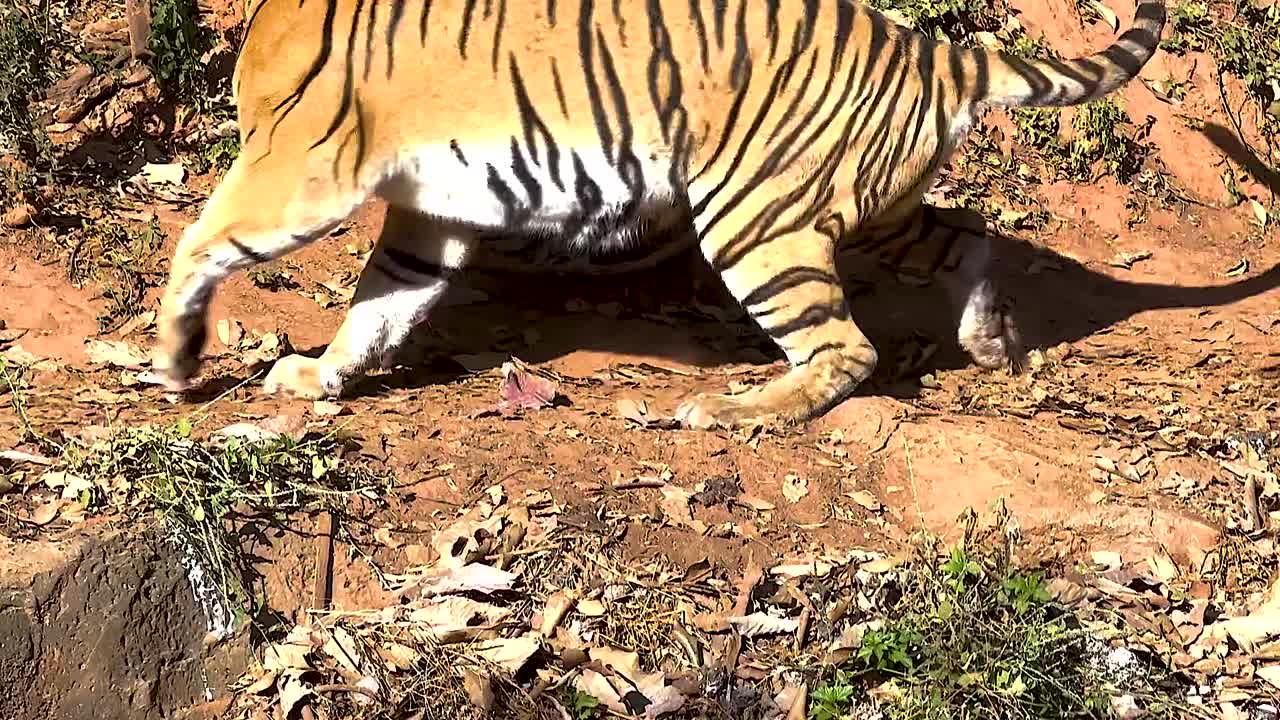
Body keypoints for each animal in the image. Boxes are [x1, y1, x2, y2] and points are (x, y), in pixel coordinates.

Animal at [150, 0, 1167, 429]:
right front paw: (321, 376)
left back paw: (736, 410)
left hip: (755, 218)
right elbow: (381, 305)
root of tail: (937, 54)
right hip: (879, 207)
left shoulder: (299, 167)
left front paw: (173, 357)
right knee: (972, 235)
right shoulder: (428, 214)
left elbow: (199, 242)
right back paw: (993, 341)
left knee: (848, 350)